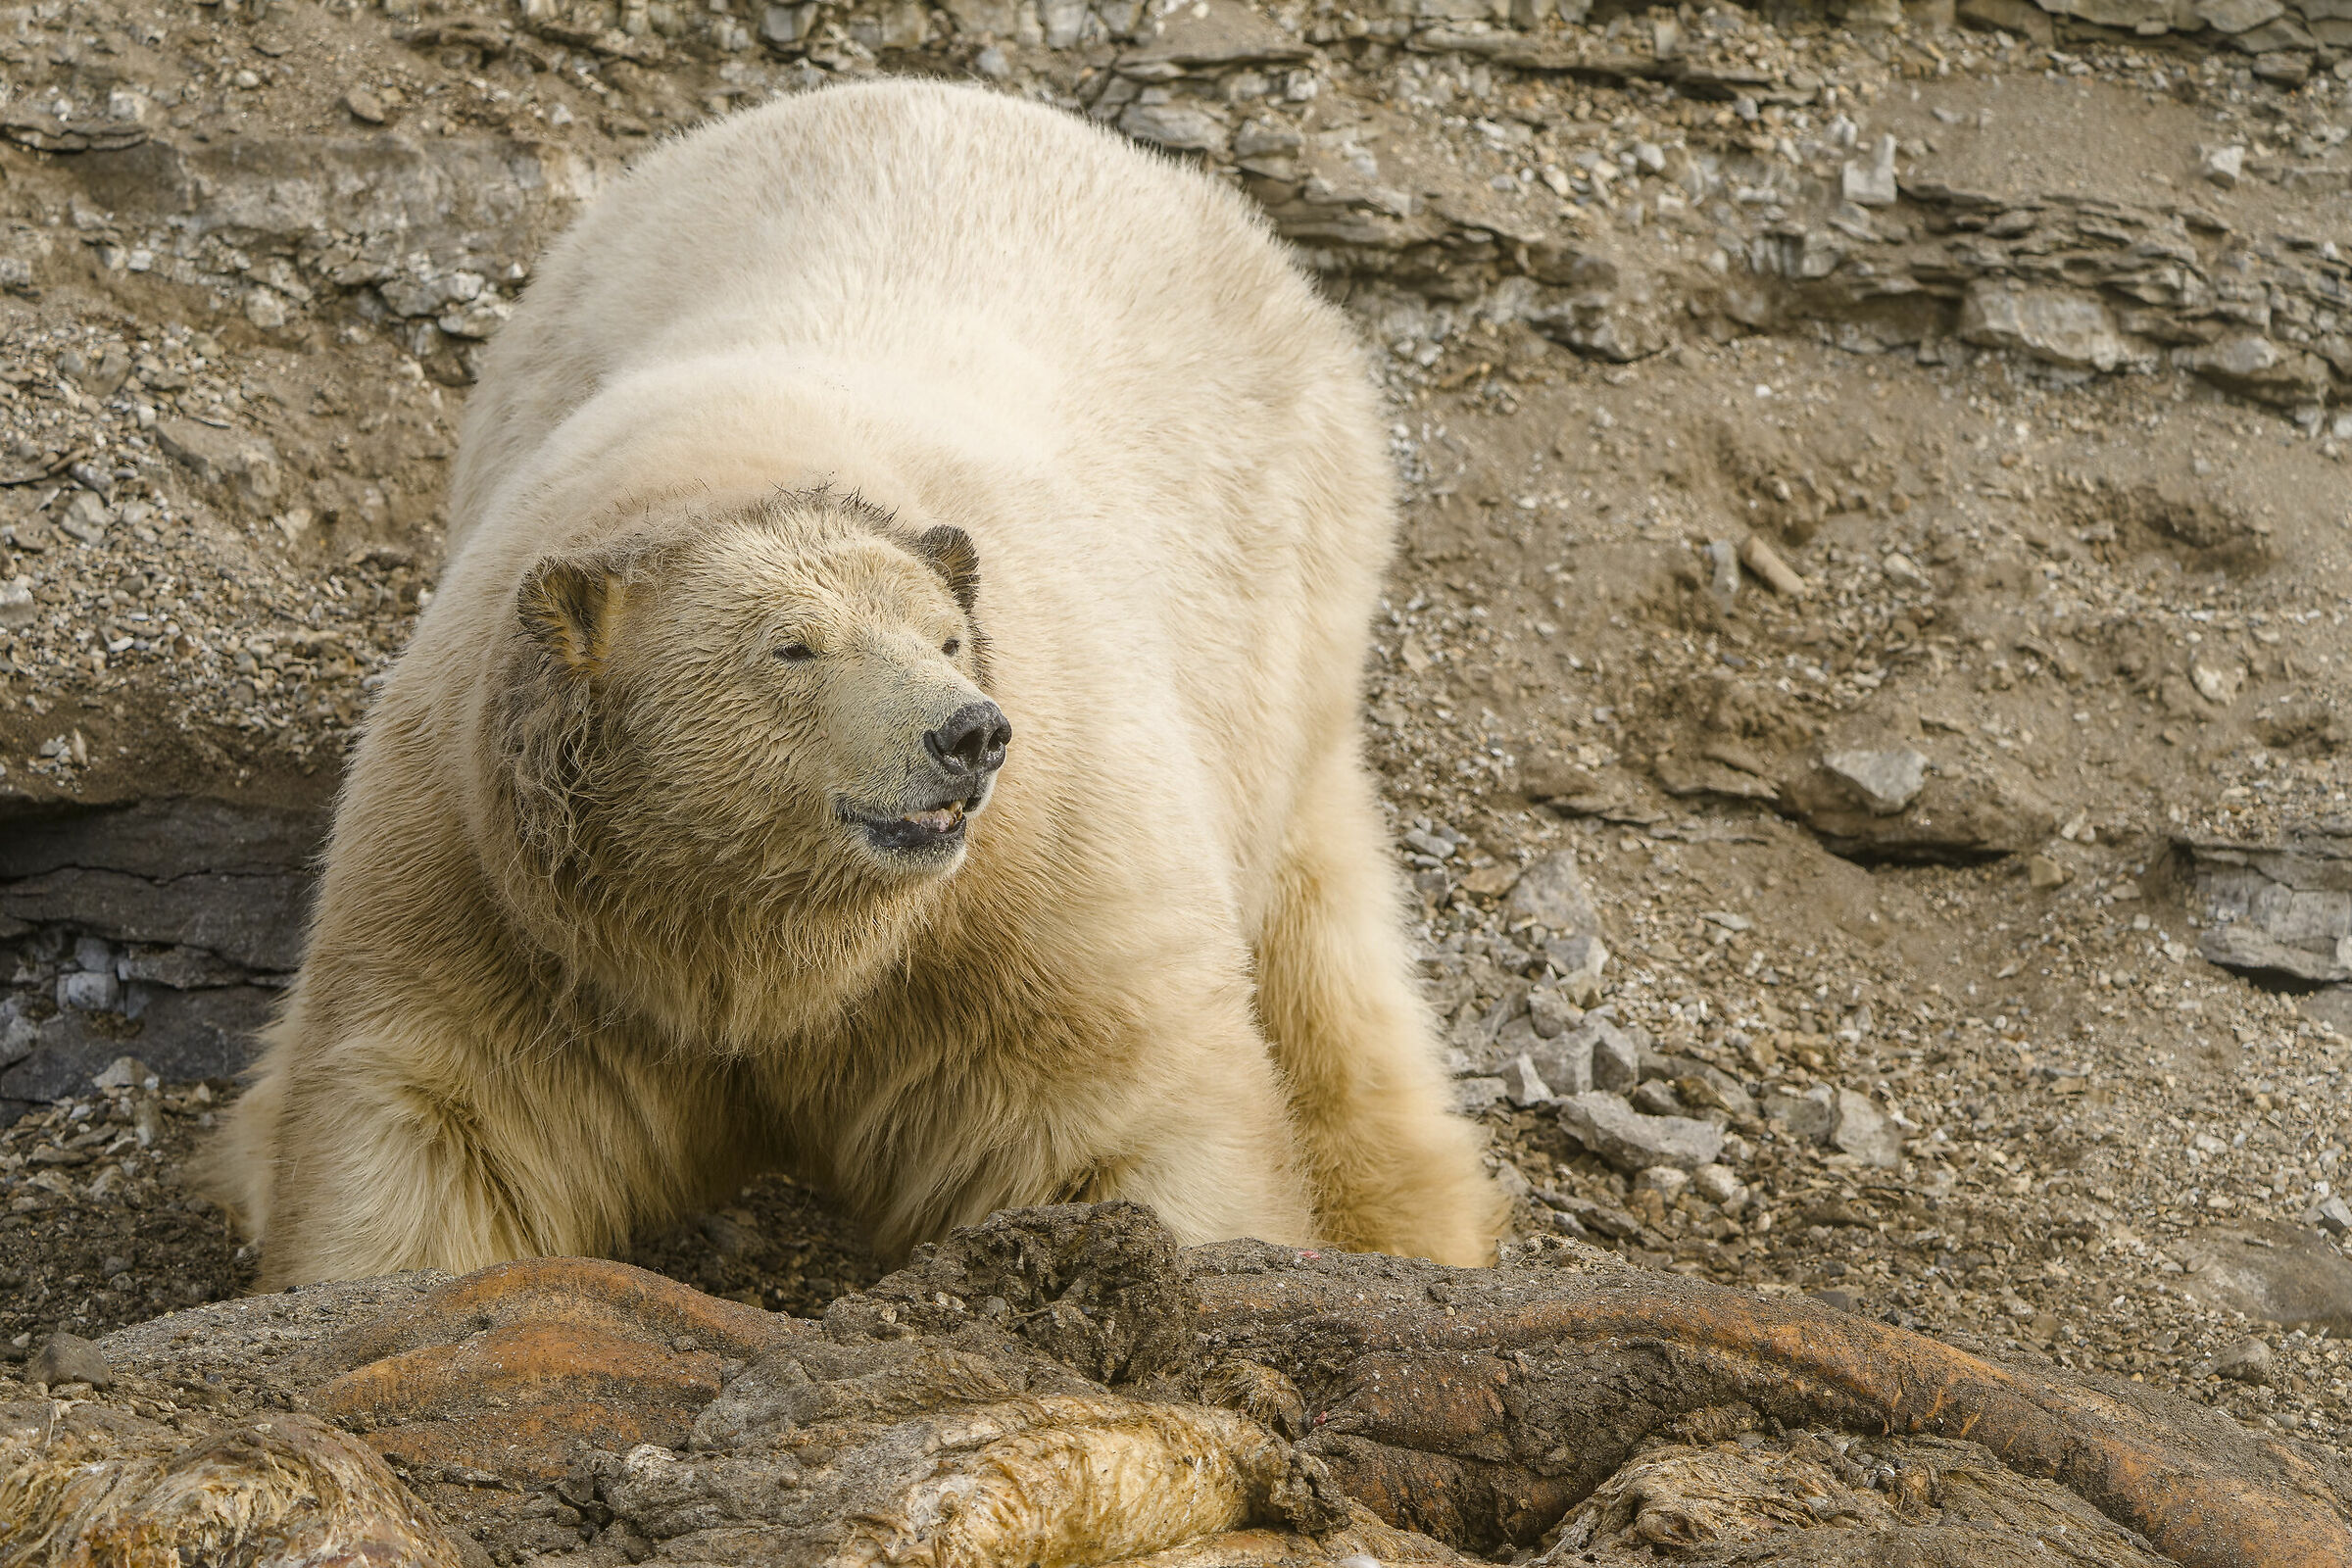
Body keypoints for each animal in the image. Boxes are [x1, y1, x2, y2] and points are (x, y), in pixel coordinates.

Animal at [211, 79, 1505, 1288]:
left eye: (946, 640)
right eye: (792, 647)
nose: (969, 735)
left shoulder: (1040, 893)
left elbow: (1120, 1121)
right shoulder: (487, 881)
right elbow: (443, 1126)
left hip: (1288, 602)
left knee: (1319, 933)